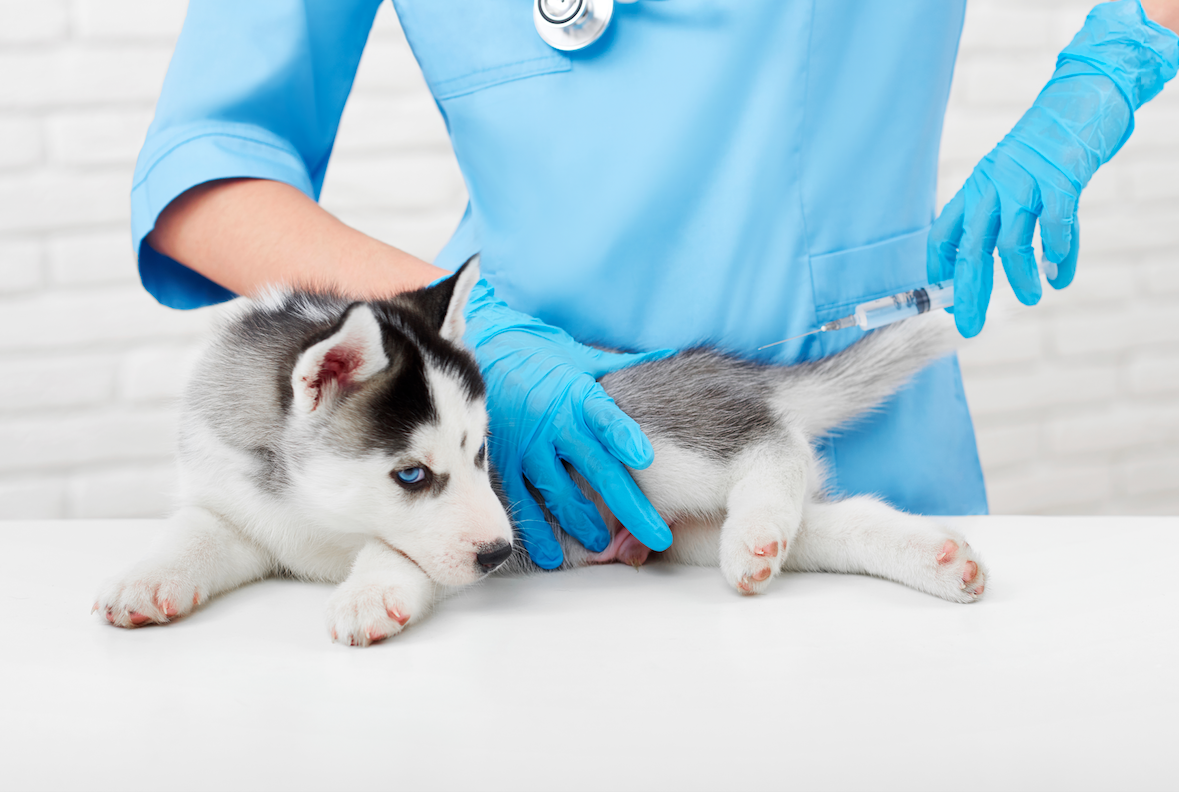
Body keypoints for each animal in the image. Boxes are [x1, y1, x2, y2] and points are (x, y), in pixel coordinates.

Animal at [94, 259, 985, 641]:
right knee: (830, 518)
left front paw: (367, 594)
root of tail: (727, 370)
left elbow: (395, 552)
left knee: (773, 441)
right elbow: (194, 534)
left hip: (645, 440)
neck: (310, 516)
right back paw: (920, 556)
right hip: (682, 529)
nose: (499, 554)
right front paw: (144, 580)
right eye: (411, 472)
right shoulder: (232, 505)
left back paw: (761, 517)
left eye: (484, 455)